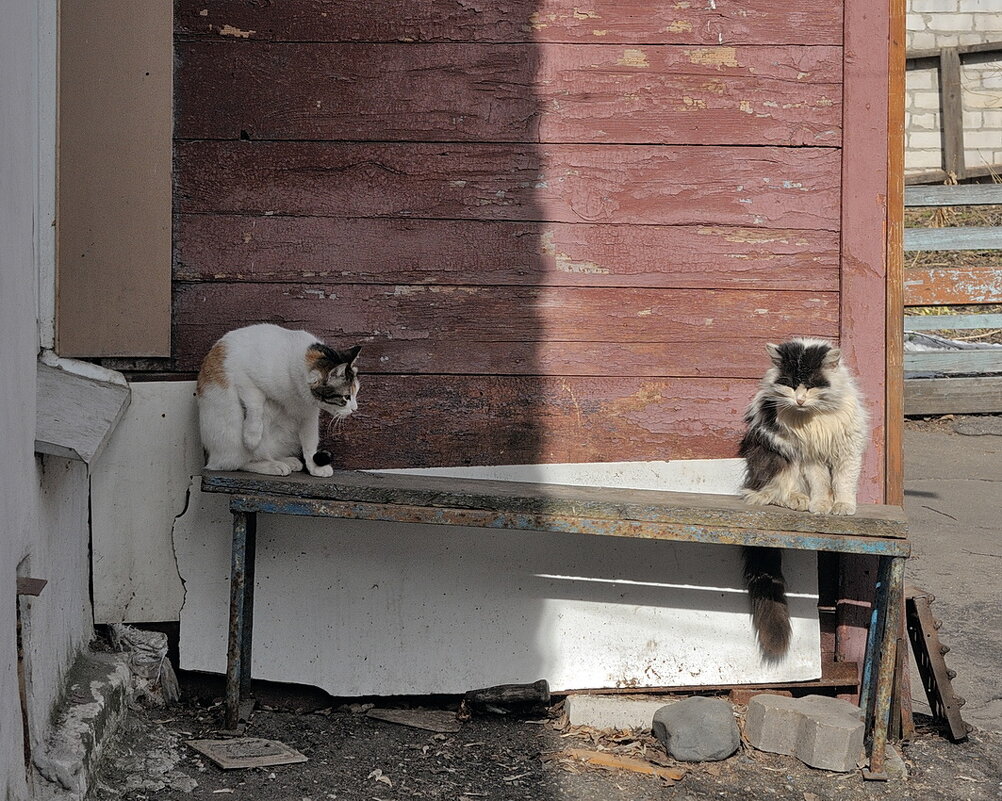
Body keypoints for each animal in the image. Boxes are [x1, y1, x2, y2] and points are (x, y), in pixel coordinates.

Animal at [195, 324, 360, 477]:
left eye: (356, 392)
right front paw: (252, 436)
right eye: (346, 397)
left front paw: (315, 468)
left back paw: (285, 460)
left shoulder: (309, 415)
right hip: (231, 427)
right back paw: (270, 465)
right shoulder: (244, 377)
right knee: (235, 463)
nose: (355, 408)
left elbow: (310, 442)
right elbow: (255, 406)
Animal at [737, 338, 869, 657]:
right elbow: (821, 485)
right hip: (781, 456)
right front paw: (821, 506)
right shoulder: (810, 458)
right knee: (770, 494)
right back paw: (798, 501)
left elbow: (844, 483)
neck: (816, 417)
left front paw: (843, 507)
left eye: (809, 385)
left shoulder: (848, 451)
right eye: (789, 385)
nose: (798, 400)